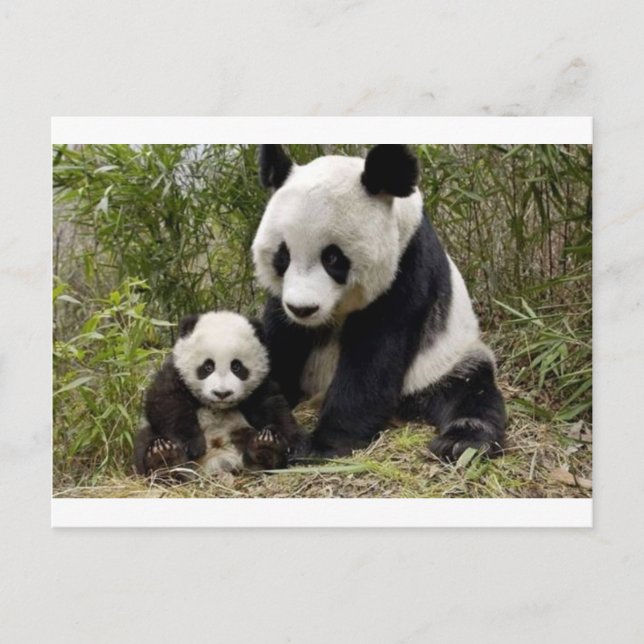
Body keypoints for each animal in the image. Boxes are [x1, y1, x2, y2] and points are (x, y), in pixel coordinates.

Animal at [133, 311, 304, 477]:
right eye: (208, 366)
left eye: (236, 366)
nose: (222, 393)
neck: (216, 406)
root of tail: (216, 462)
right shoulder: (175, 373)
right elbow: (167, 403)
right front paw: (193, 444)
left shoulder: (260, 385)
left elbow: (273, 406)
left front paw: (292, 445)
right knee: (145, 439)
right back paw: (163, 458)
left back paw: (266, 448)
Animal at [252, 144, 506, 461]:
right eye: (283, 256)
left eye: (332, 257)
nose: (303, 309)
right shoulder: (282, 300)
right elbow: (280, 341)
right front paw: (270, 427)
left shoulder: (407, 269)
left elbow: (373, 358)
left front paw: (322, 445)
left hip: (445, 361)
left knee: (472, 392)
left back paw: (461, 442)